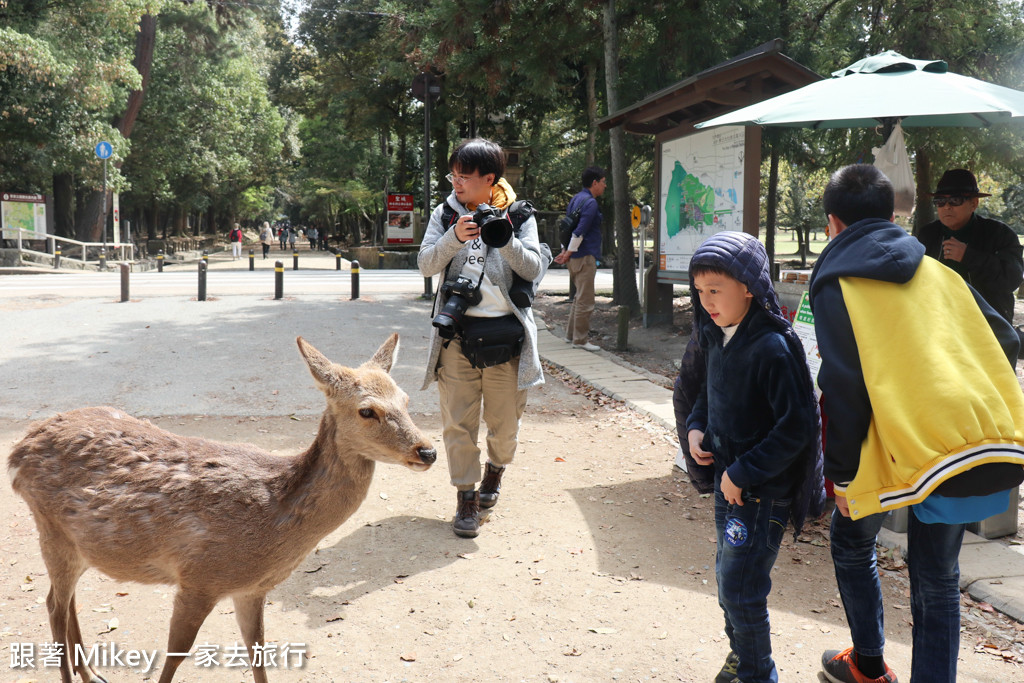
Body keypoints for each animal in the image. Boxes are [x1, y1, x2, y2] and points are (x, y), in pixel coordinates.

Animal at [9, 335, 438, 683]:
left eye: (406, 400)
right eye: (367, 410)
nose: (428, 451)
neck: (273, 523)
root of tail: (18, 451)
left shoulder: (251, 589)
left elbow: (258, 653)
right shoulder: (199, 578)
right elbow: (175, 657)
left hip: (79, 544)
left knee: (65, 600)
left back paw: (93, 673)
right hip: (50, 529)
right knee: (53, 604)